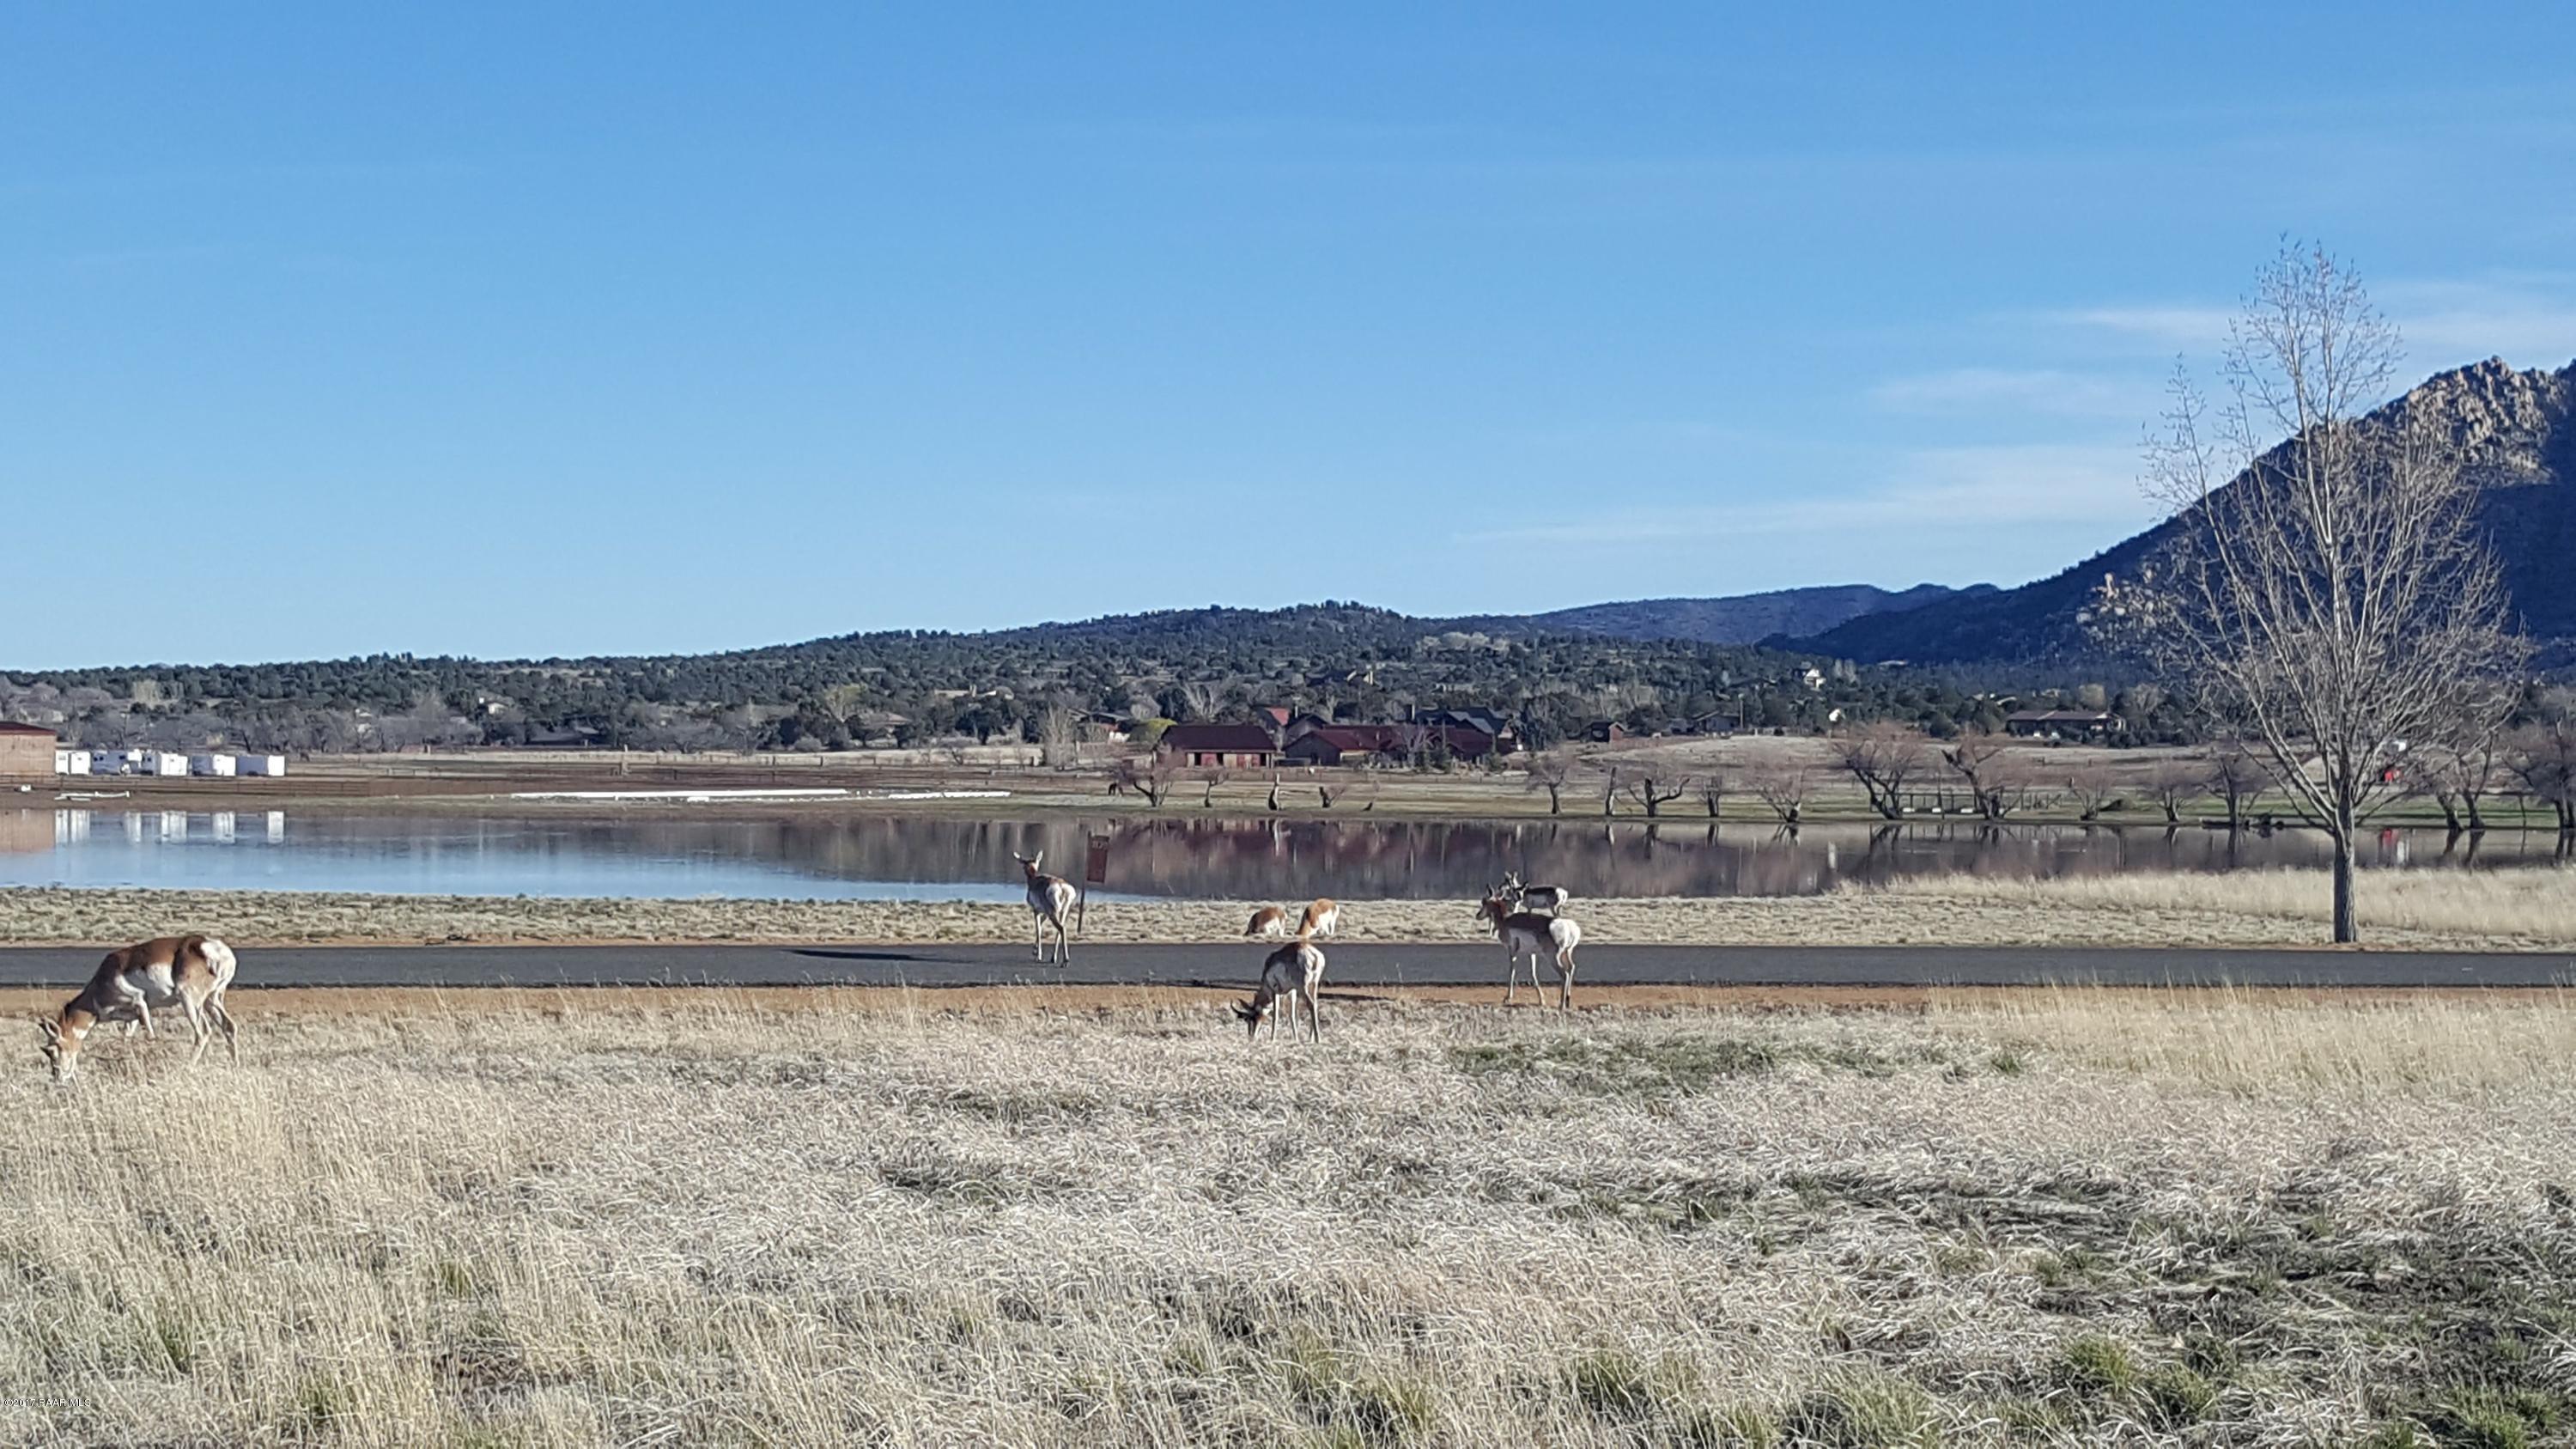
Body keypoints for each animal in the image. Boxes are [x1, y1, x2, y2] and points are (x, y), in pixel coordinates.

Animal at [39, 934, 240, 1084]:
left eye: (52, 1050)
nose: (58, 1078)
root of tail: (214, 948)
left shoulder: (139, 1003)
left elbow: (150, 1036)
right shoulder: (131, 1018)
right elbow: (125, 1041)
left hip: (189, 1000)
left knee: (203, 1032)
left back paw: (186, 1069)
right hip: (212, 1000)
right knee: (229, 1026)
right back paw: (234, 1066)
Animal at [1013, 851, 1079, 964]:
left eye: (1023, 866)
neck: (1033, 879)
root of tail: (1061, 887)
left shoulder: (1036, 910)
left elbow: (1038, 929)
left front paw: (1038, 956)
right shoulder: (1045, 912)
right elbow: (1041, 925)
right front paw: (1035, 950)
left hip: (1053, 911)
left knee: (1061, 928)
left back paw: (1065, 961)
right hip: (1062, 910)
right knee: (1061, 928)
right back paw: (1053, 958)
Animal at [1477, 895, 1582, 1009]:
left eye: (1485, 903)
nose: (1477, 915)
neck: (1505, 921)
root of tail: (1568, 926)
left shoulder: (1512, 951)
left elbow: (1512, 971)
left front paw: (1507, 998)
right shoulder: (1531, 953)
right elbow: (1533, 973)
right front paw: (1541, 1000)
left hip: (1553, 957)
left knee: (1565, 973)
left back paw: (1561, 1004)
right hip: (1567, 953)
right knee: (1571, 968)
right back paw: (1567, 1000)